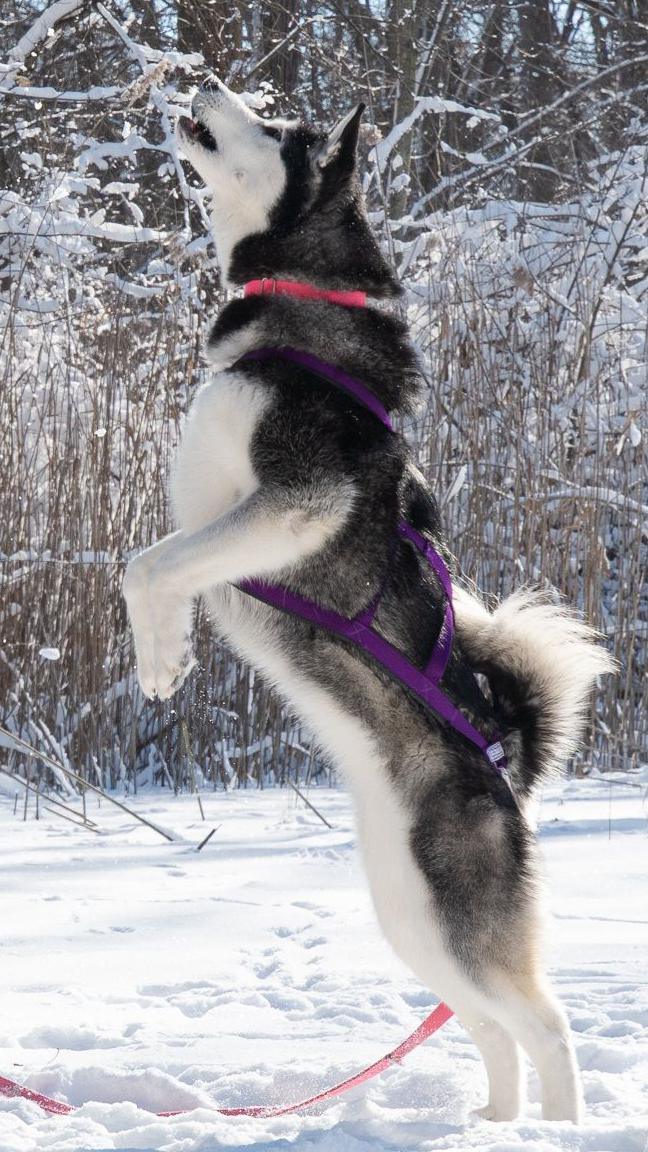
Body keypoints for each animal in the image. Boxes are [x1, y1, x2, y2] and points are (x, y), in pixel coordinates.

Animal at [121, 81, 608, 1124]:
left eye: (279, 129)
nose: (206, 83)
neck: (306, 309)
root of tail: (509, 780)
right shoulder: (208, 515)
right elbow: (160, 567)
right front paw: (166, 655)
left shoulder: (298, 502)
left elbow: (147, 563)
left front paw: (159, 658)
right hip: (413, 919)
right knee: (491, 1032)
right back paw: (488, 1128)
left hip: (456, 919)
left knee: (547, 1029)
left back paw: (553, 1132)